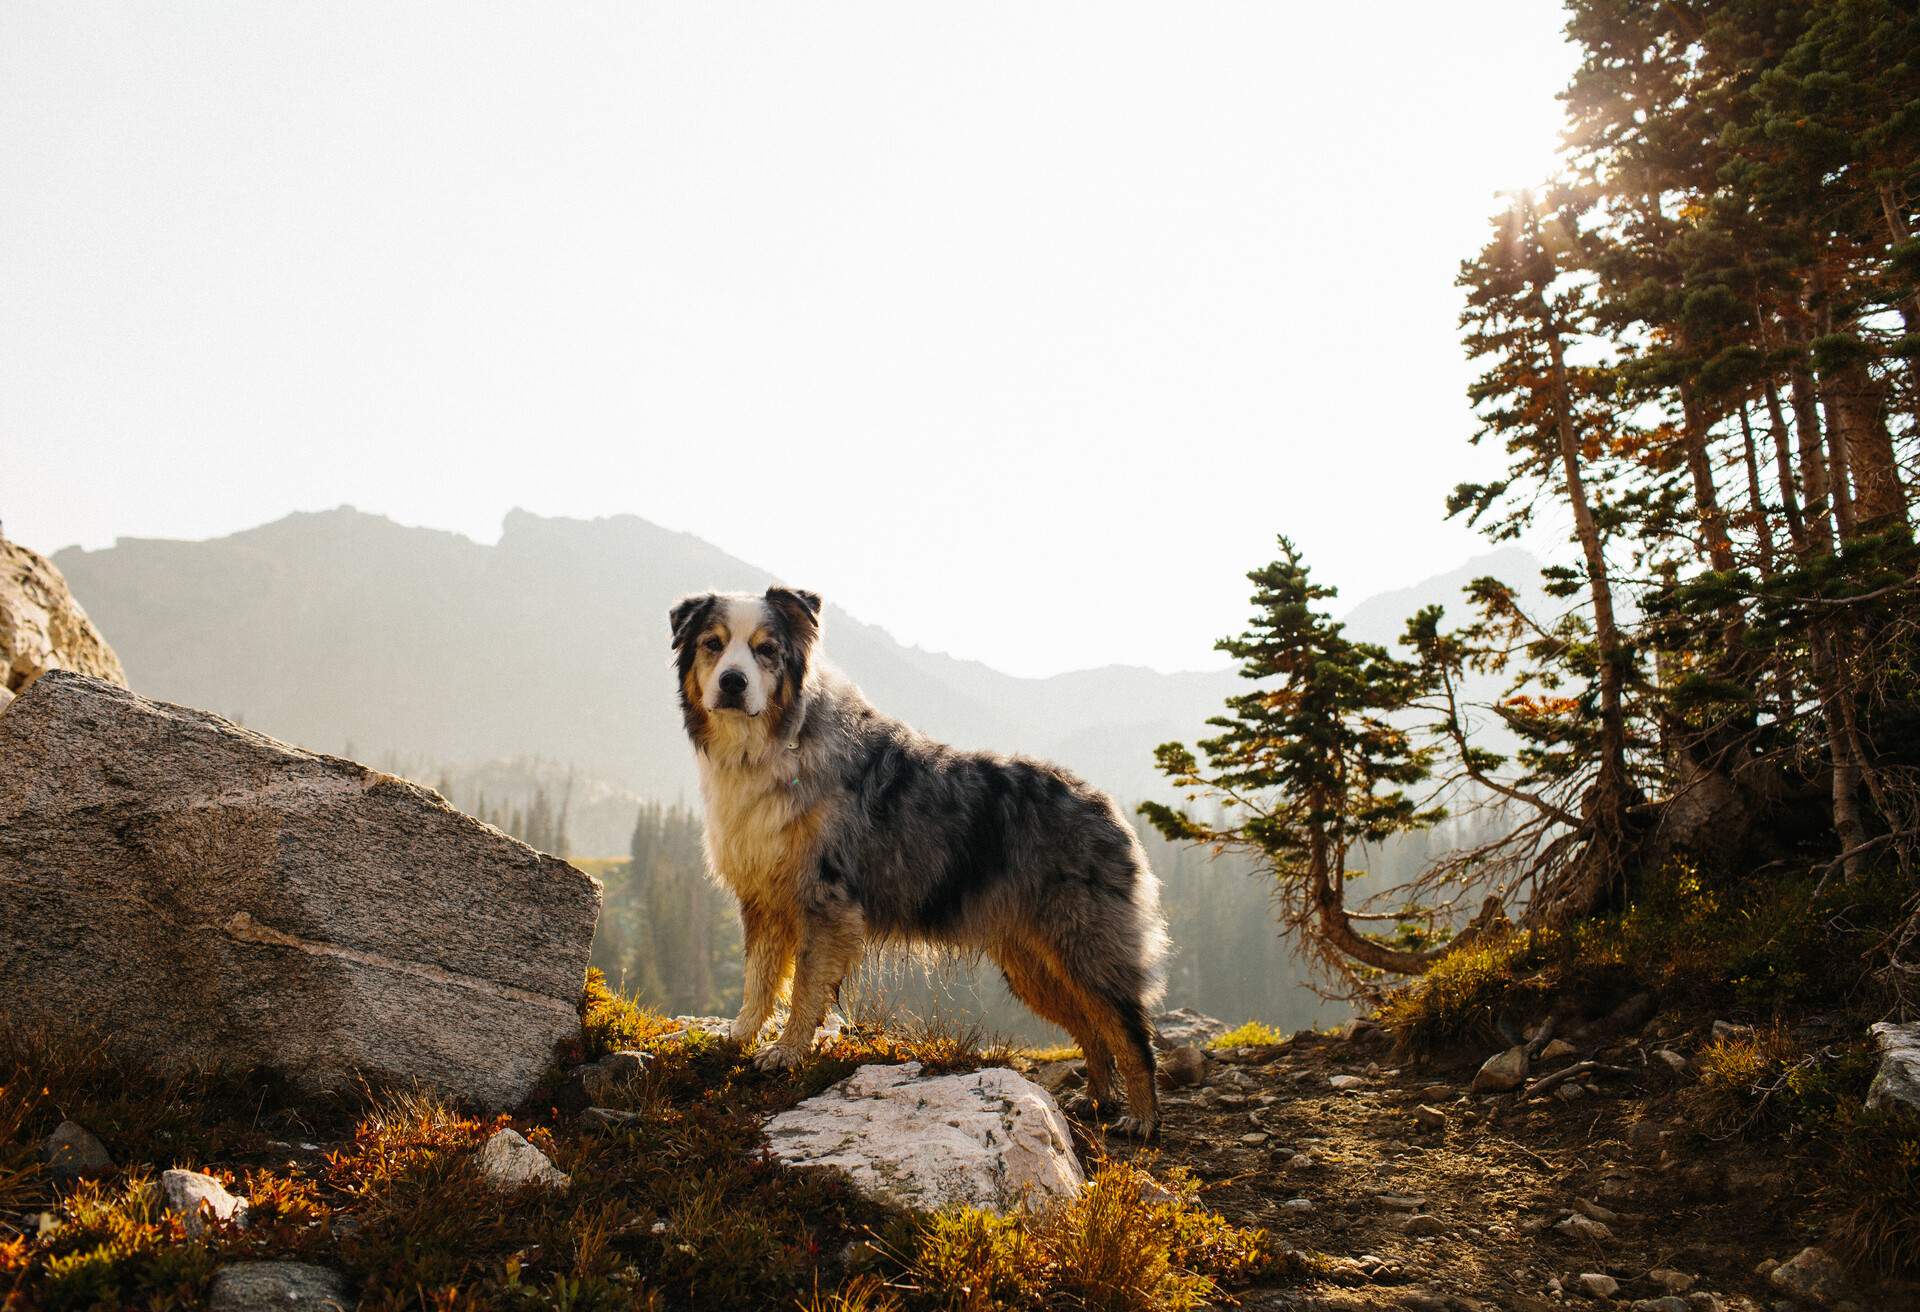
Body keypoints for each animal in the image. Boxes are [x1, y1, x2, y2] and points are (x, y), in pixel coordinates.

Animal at [668, 587, 1175, 1137]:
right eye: (713, 644)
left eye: (766, 650)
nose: (732, 683)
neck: (769, 744)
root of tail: (1107, 806)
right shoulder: (763, 896)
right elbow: (758, 978)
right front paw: (738, 1038)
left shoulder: (826, 900)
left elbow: (803, 987)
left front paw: (785, 1053)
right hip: (1034, 963)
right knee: (1092, 1028)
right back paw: (1096, 1098)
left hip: (1086, 945)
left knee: (1129, 1031)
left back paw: (1142, 1118)